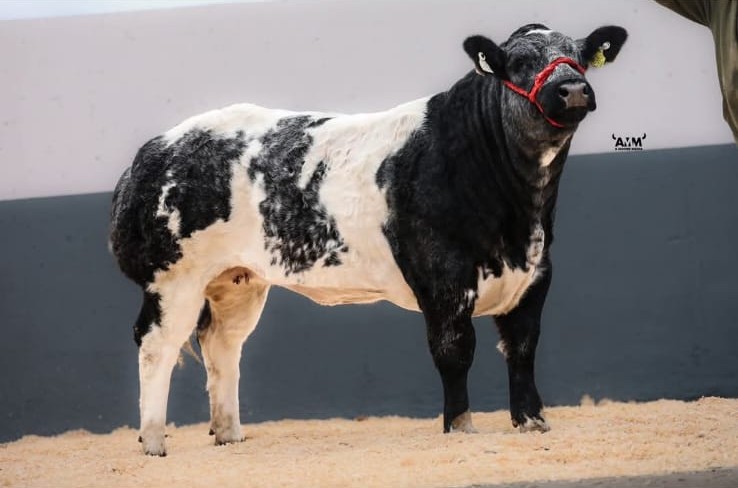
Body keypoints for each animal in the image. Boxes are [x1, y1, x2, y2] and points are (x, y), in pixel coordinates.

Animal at [109, 23, 628, 456]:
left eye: (578, 56)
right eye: (518, 62)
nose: (572, 88)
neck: (520, 214)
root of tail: (153, 150)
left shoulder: (536, 273)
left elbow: (522, 349)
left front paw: (533, 423)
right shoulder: (443, 277)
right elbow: (455, 352)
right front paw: (460, 428)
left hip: (238, 279)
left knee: (221, 345)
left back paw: (229, 434)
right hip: (173, 278)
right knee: (157, 345)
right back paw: (153, 442)